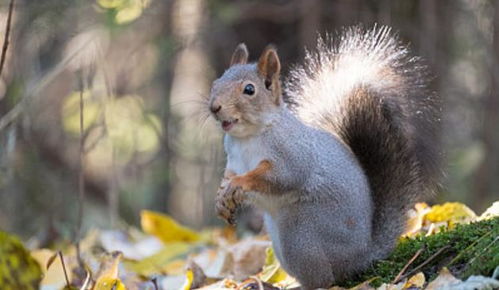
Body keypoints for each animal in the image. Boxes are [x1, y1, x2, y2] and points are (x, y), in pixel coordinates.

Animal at [207, 26, 442, 288]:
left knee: (326, 280)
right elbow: (229, 176)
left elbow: (280, 176)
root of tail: (363, 254)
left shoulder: (291, 154)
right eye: (216, 83)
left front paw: (239, 184)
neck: (247, 137)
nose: (214, 107)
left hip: (300, 236)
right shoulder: (234, 159)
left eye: (249, 89)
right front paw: (221, 196)